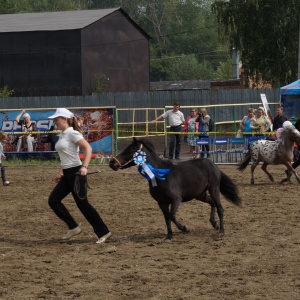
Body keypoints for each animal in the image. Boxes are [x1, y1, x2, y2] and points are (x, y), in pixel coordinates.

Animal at [109, 137, 241, 243]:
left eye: (131, 150)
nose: (112, 162)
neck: (159, 175)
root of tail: (213, 165)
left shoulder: (176, 199)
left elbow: (172, 216)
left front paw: (184, 228)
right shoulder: (162, 203)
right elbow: (167, 219)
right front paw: (169, 236)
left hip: (213, 189)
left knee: (220, 208)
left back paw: (221, 230)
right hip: (200, 195)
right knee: (212, 203)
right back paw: (214, 224)